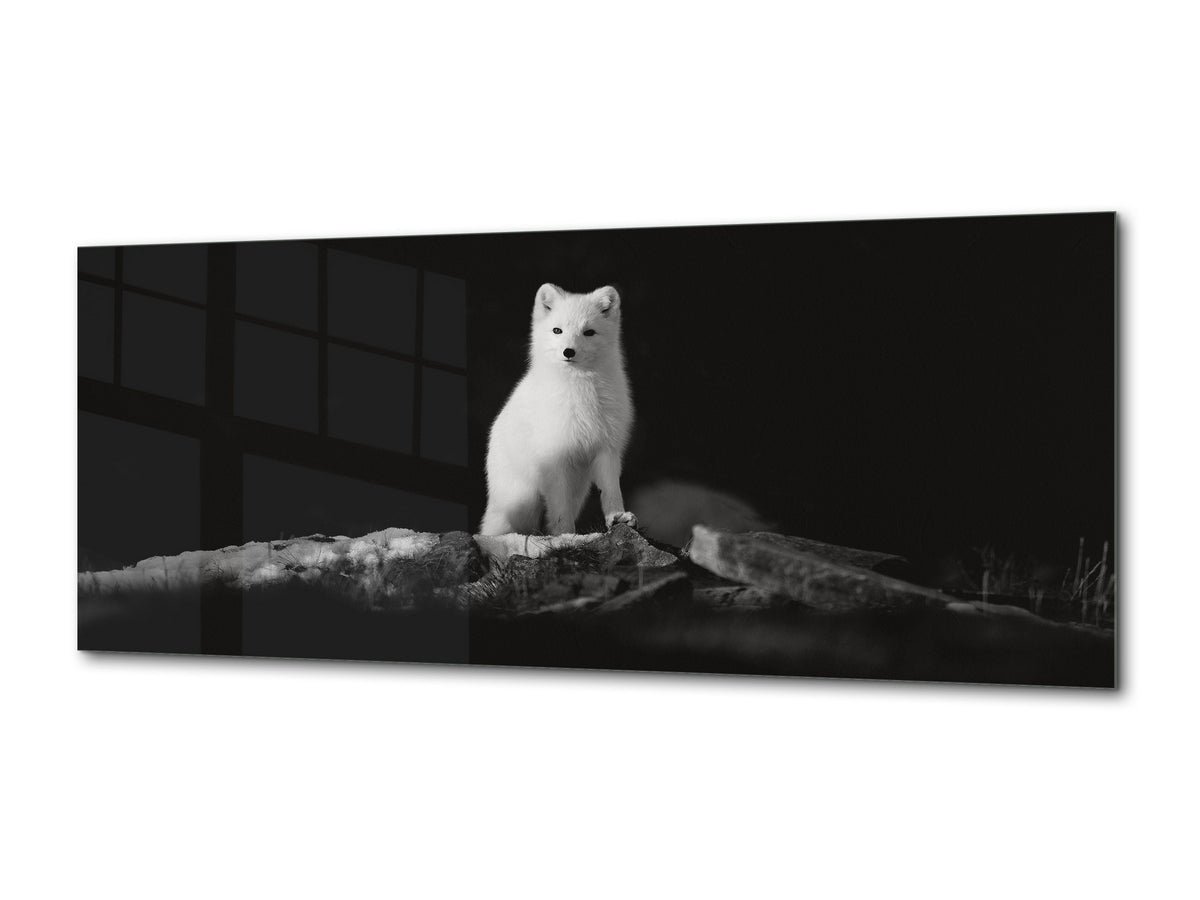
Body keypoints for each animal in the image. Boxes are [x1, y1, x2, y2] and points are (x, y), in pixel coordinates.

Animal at [480, 283, 637, 536]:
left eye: (589, 332)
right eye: (557, 330)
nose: (568, 352)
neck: (582, 390)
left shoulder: (607, 448)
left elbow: (611, 490)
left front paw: (618, 517)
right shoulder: (555, 457)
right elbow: (560, 508)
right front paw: (566, 535)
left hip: (578, 490)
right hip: (522, 501)